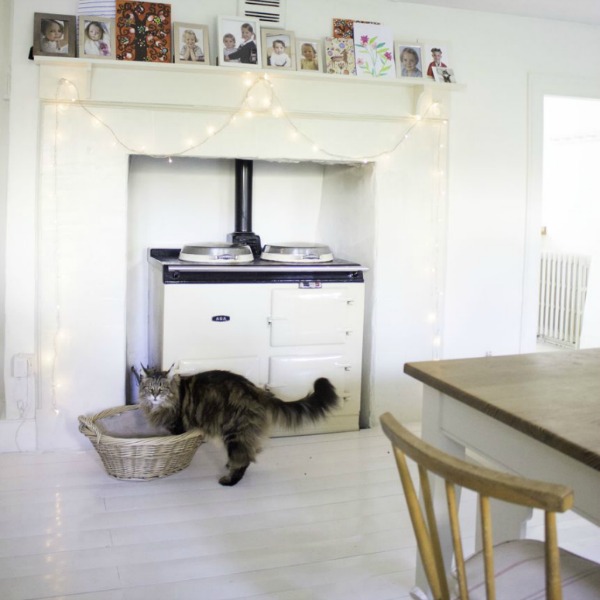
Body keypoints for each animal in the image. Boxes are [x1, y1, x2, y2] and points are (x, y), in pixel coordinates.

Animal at [134, 366, 340, 488]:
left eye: (161, 389)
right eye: (149, 388)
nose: (154, 396)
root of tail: (256, 390)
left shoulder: (177, 427)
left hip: (234, 432)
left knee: (245, 459)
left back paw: (229, 479)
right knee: (249, 452)